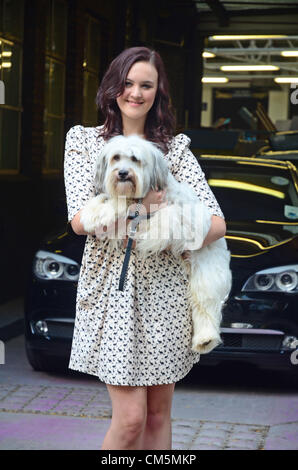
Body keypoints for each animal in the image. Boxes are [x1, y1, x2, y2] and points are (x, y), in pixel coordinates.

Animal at [81, 134, 233, 354]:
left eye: (134, 159)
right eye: (116, 157)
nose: (123, 173)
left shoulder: (185, 216)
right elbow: (107, 201)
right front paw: (94, 212)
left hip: (206, 274)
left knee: (205, 306)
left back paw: (205, 339)